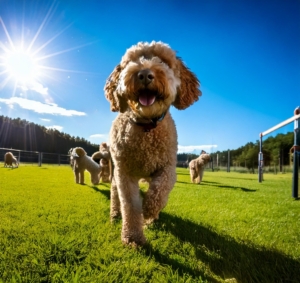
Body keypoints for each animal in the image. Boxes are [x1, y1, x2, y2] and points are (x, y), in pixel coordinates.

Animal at [103, 40, 202, 246]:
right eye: (130, 62)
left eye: (162, 60)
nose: (144, 74)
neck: (146, 128)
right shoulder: (124, 172)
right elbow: (130, 205)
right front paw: (132, 238)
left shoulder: (168, 168)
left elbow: (159, 192)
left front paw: (149, 210)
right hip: (115, 172)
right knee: (115, 194)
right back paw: (115, 214)